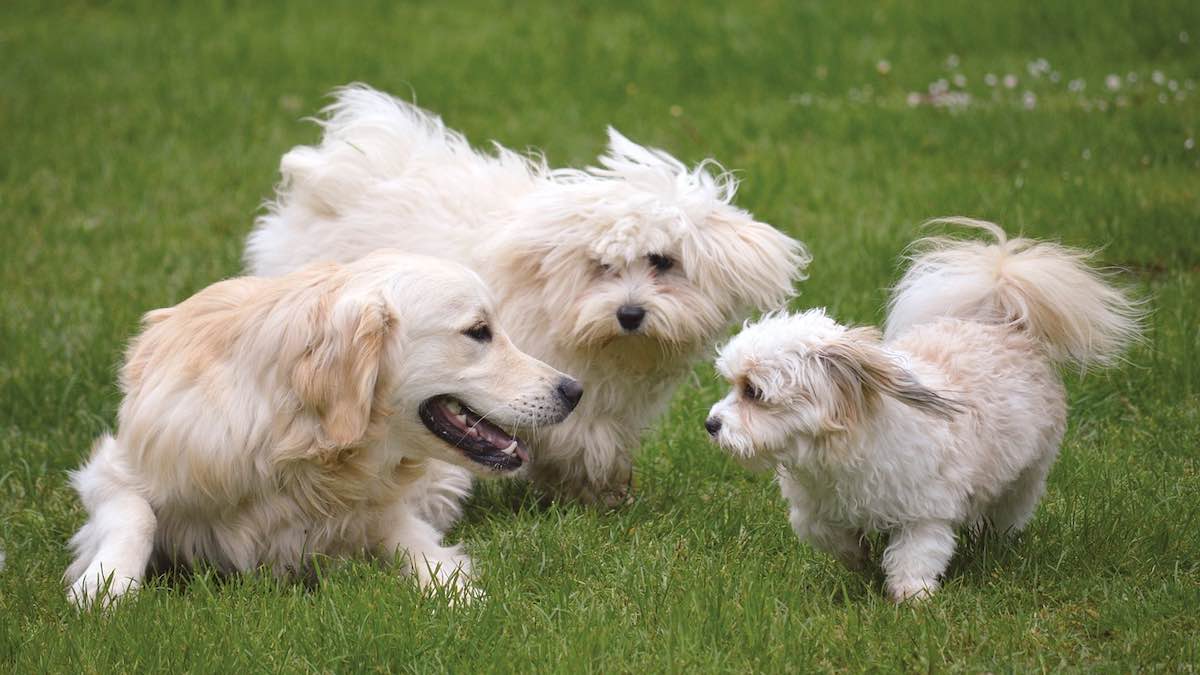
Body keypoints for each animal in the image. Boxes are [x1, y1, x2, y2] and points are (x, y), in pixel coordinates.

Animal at [65, 249, 580, 607]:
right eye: (478, 331)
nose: (574, 390)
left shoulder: (384, 511)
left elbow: (418, 548)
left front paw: (460, 594)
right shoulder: (112, 467)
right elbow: (138, 514)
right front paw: (104, 587)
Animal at [700, 219, 1142, 598]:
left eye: (753, 391)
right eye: (732, 384)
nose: (711, 424)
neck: (841, 447)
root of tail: (1003, 322)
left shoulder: (925, 509)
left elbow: (916, 553)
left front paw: (912, 596)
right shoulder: (816, 507)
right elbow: (823, 532)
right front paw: (857, 558)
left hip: (1027, 473)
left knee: (1009, 509)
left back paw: (995, 544)